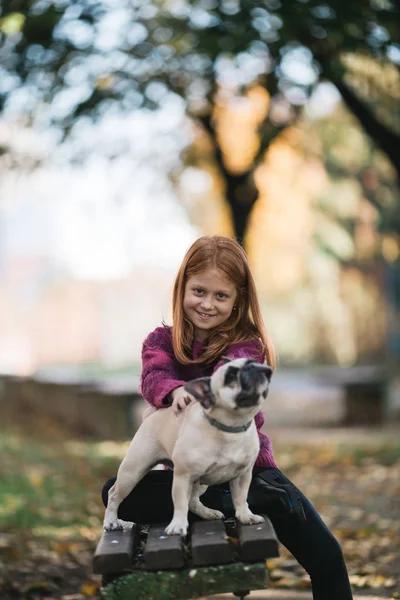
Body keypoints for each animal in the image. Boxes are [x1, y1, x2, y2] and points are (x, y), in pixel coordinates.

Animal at [103, 358, 272, 536]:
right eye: (230, 376)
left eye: (253, 361)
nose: (256, 368)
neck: (231, 427)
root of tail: (154, 415)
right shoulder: (183, 476)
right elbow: (180, 503)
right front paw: (178, 525)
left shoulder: (242, 475)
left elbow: (241, 498)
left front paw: (246, 516)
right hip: (133, 470)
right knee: (113, 494)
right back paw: (111, 522)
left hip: (201, 481)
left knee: (193, 500)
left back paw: (208, 513)